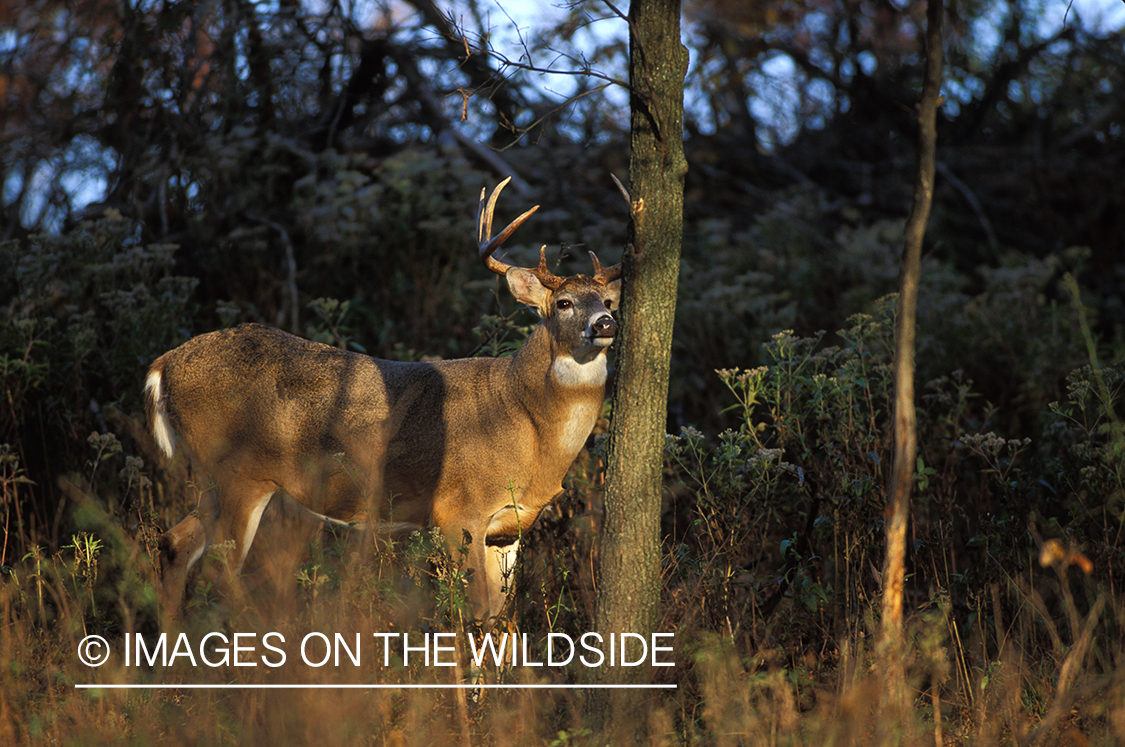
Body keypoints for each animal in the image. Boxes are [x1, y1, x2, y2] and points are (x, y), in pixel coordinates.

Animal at [145, 177, 622, 625]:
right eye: (564, 303)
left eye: (608, 300)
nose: (605, 323)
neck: (526, 423)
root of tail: (163, 365)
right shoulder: (456, 509)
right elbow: (475, 610)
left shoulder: (508, 528)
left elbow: (499, 617)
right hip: (241, 473)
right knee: (220, 570)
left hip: (214, 477)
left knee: (173, 543)